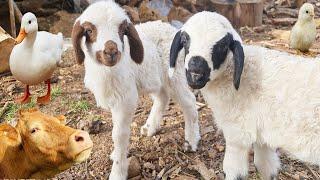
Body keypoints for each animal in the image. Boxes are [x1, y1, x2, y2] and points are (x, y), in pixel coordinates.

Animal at [71, 1, 200, 179]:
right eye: (89, 30)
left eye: (122, 30)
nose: (111, 52)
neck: (107, 71)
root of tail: (173, 29)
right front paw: (117, 154)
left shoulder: (125, 99)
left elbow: (119, 134)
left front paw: (118, 171)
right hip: (155, 78)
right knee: (162, 97)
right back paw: (150, 127)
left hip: (175, 75)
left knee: (189, 102)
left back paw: (192, 141)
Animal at [171, 10, 320, 179]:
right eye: (184, 40)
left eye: (222, 45)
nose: (195, 74)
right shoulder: (263, 137)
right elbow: (266, 167)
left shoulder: (238, 134)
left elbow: (234, 171)